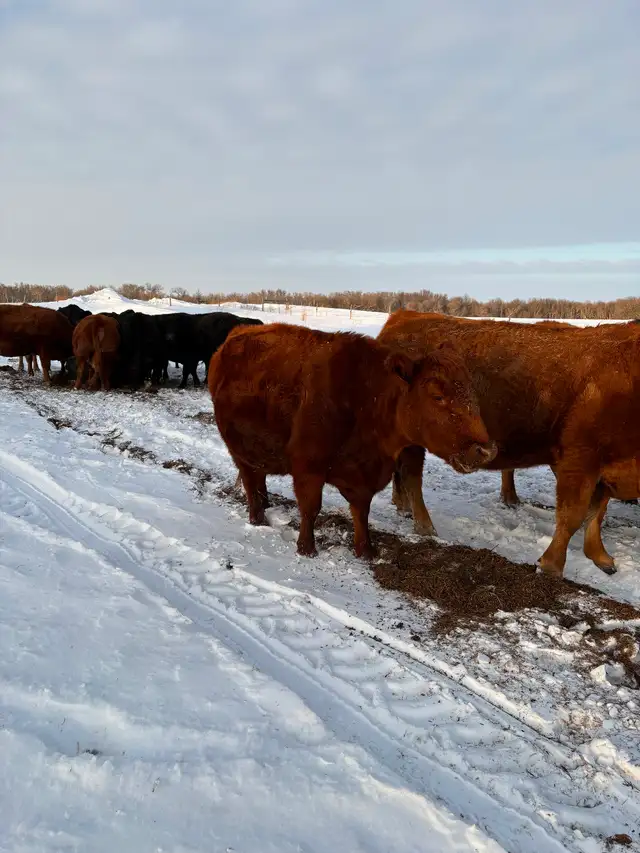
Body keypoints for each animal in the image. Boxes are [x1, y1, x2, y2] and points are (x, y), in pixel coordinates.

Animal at [209, 323, 496, 559]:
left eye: (471, 392)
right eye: (437, 396)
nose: (485, 450)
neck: (367, 398)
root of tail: (234, 337)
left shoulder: (363, 475)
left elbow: (361, 512)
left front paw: (365, 550)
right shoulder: (308, 468)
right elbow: (310, 508)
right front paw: (307, 548)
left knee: (258, 479)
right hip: (240, 450)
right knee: (250, 482)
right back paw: (258, 518)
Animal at [377, 310, 640, 577]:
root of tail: (400, 318)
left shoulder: (603, 471)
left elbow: (596, 513)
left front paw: (600, 557)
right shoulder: (580, 462)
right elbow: (573, 516)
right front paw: (551, 565)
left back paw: (403, 507)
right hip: (414, 444)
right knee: (412, 477)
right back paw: (425, 526)